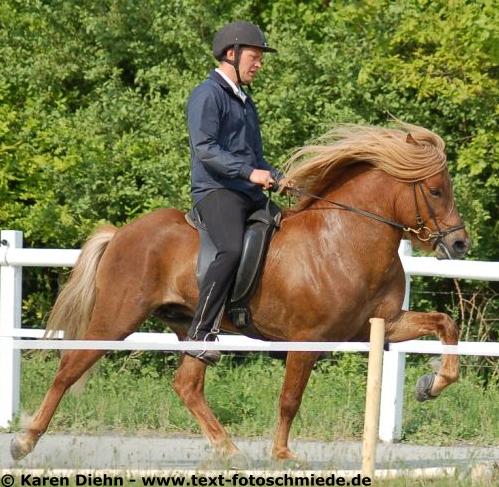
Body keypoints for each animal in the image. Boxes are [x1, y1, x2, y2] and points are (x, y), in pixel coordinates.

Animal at [12, 124, 472, 464]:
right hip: (116, 317)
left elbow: (445, 324)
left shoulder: (381, 327)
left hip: (192, 328)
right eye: (435, 190)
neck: (343, 240)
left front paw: (431, 384)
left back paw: (229, 450)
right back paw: (24, 441)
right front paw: (283, 455)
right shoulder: (307, 340)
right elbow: (290, 399)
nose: (460, 244)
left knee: (186, 385)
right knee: (69, 368)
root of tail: (122, 233)